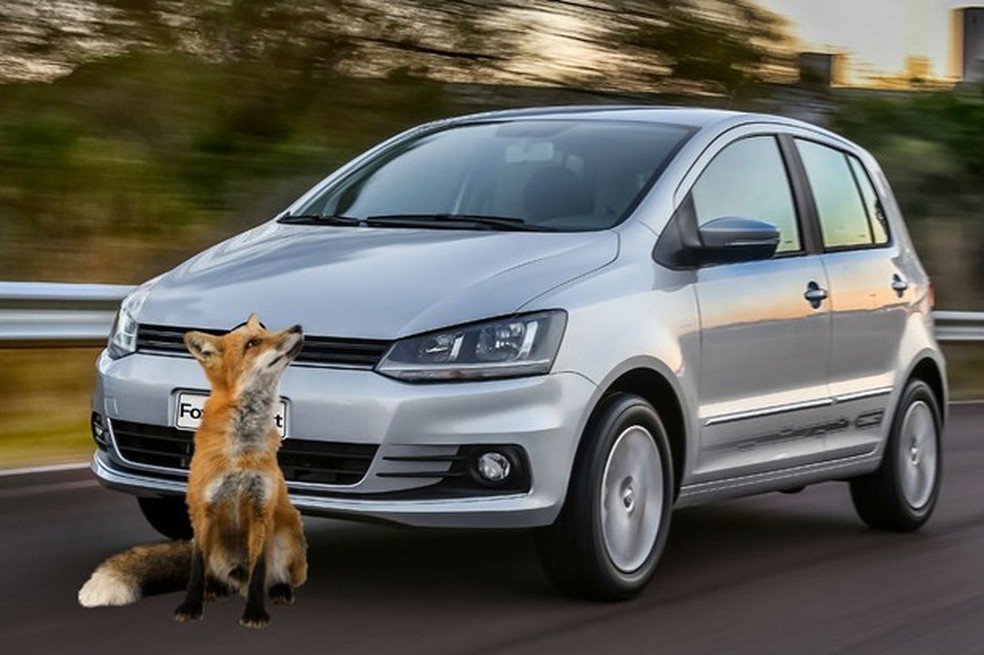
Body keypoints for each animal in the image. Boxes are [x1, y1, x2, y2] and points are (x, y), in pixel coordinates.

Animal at [78, 314, 308, 629]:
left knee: (272, 578)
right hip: (215, 544)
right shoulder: (205, 508)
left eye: (266, 331)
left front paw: (254, 613)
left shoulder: (261, 508)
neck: (240, 450)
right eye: (253, 342)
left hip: (287, 534)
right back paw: (215, 590)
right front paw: (190, 607)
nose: (298, 326)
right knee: (216, 576)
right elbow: (196, 571)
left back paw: (278, 590)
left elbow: (259, 569)